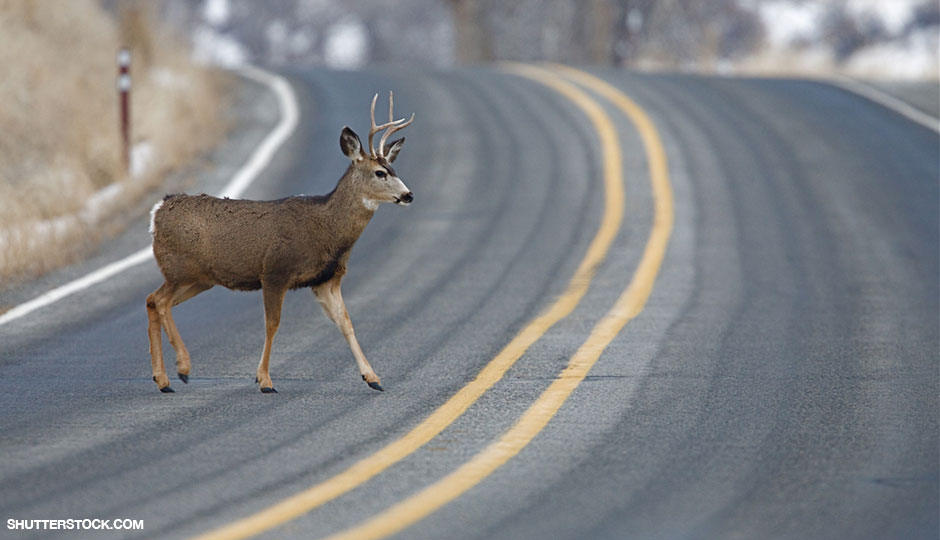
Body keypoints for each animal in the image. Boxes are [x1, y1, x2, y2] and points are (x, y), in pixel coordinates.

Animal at [146, 92, 414, 394]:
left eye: (393, 168)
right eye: (380, 172)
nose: (408, 195)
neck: (328, 230)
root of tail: (157, 211)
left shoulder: (326, 279)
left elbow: (346, 322)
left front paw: (373, 377)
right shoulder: (275, 272)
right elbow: (272, 324)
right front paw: (264, 380)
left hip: (199, 279)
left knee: (153, 301)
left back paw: (163, 379)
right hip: (180, 269)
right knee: (161, 301)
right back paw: (182, 368)